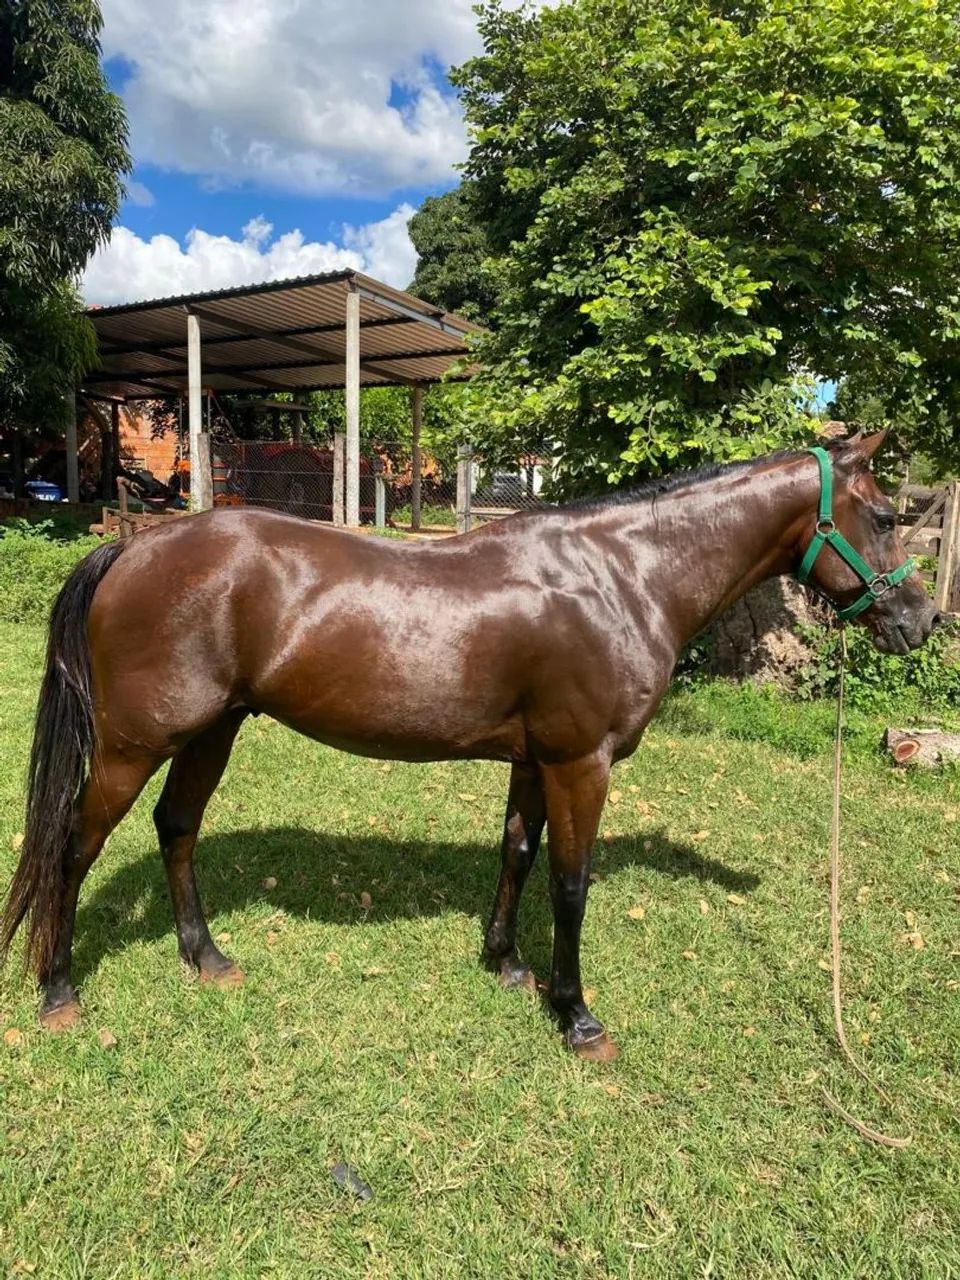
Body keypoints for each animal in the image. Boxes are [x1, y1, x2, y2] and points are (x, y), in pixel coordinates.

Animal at [0, 431, 938, 1059]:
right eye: (886, 513)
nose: (924, 620)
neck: (621, 576)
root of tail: (132, 547)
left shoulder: (534, 759)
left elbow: (517, 853)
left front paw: (506, 964)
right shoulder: (580, 762)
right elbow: (570, 883)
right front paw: (577, 1015)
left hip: (212, 730)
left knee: (177, 828)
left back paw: (206, 959)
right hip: (134, 744)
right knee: (73, 846)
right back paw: (58, 991)